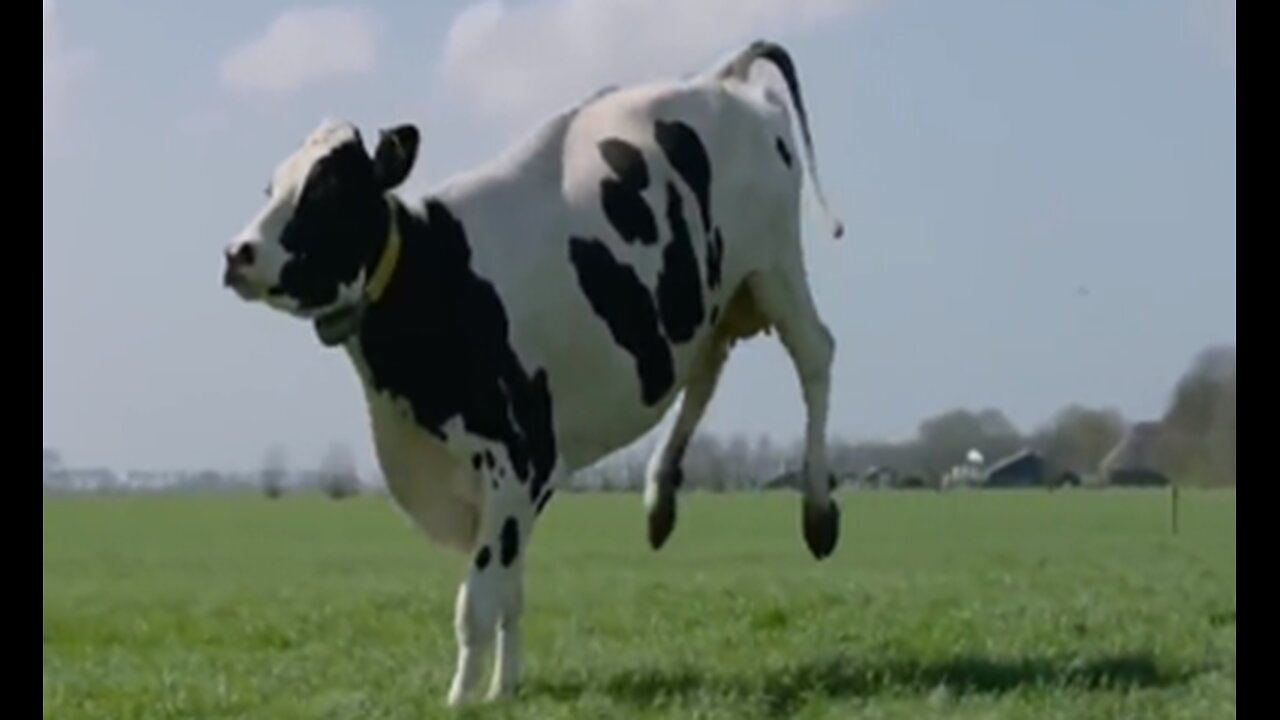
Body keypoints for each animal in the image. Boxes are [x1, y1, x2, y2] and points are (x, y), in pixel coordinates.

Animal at [222, 37, 849, 702]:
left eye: (327, 191)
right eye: (272, 186)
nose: (238, 253)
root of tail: (720, 77)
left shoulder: (516, 458)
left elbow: (477, 604)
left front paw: (460, 702)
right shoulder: (522, 480)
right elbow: (510, 595)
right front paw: (505, 690)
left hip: (774, 265)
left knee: (815, 354)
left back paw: (816, 512)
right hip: (717, 297)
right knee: (708, 370)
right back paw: (660, 498)